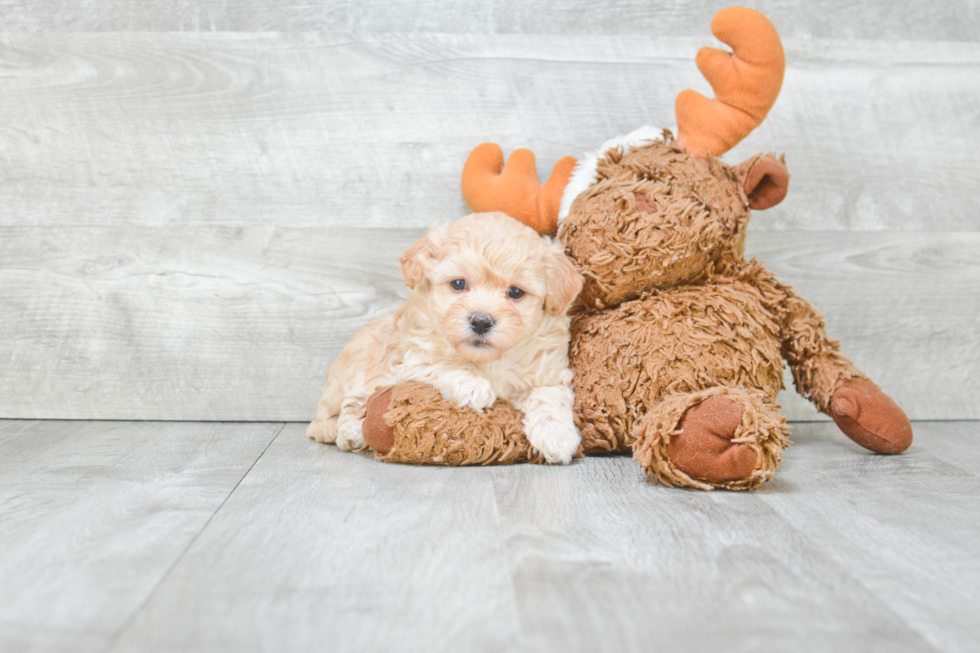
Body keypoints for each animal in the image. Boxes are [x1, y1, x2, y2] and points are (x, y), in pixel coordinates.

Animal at [308, 211, 580, 460]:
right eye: (458, 284)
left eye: (515, 292)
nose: (481, 321)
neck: (488, 359)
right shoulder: (414, 359)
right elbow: (445, 364)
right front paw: (473, 385)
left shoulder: (549, 370)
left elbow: (549, 395)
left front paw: (557, 435)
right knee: (347, 406)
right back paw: (350, 432)